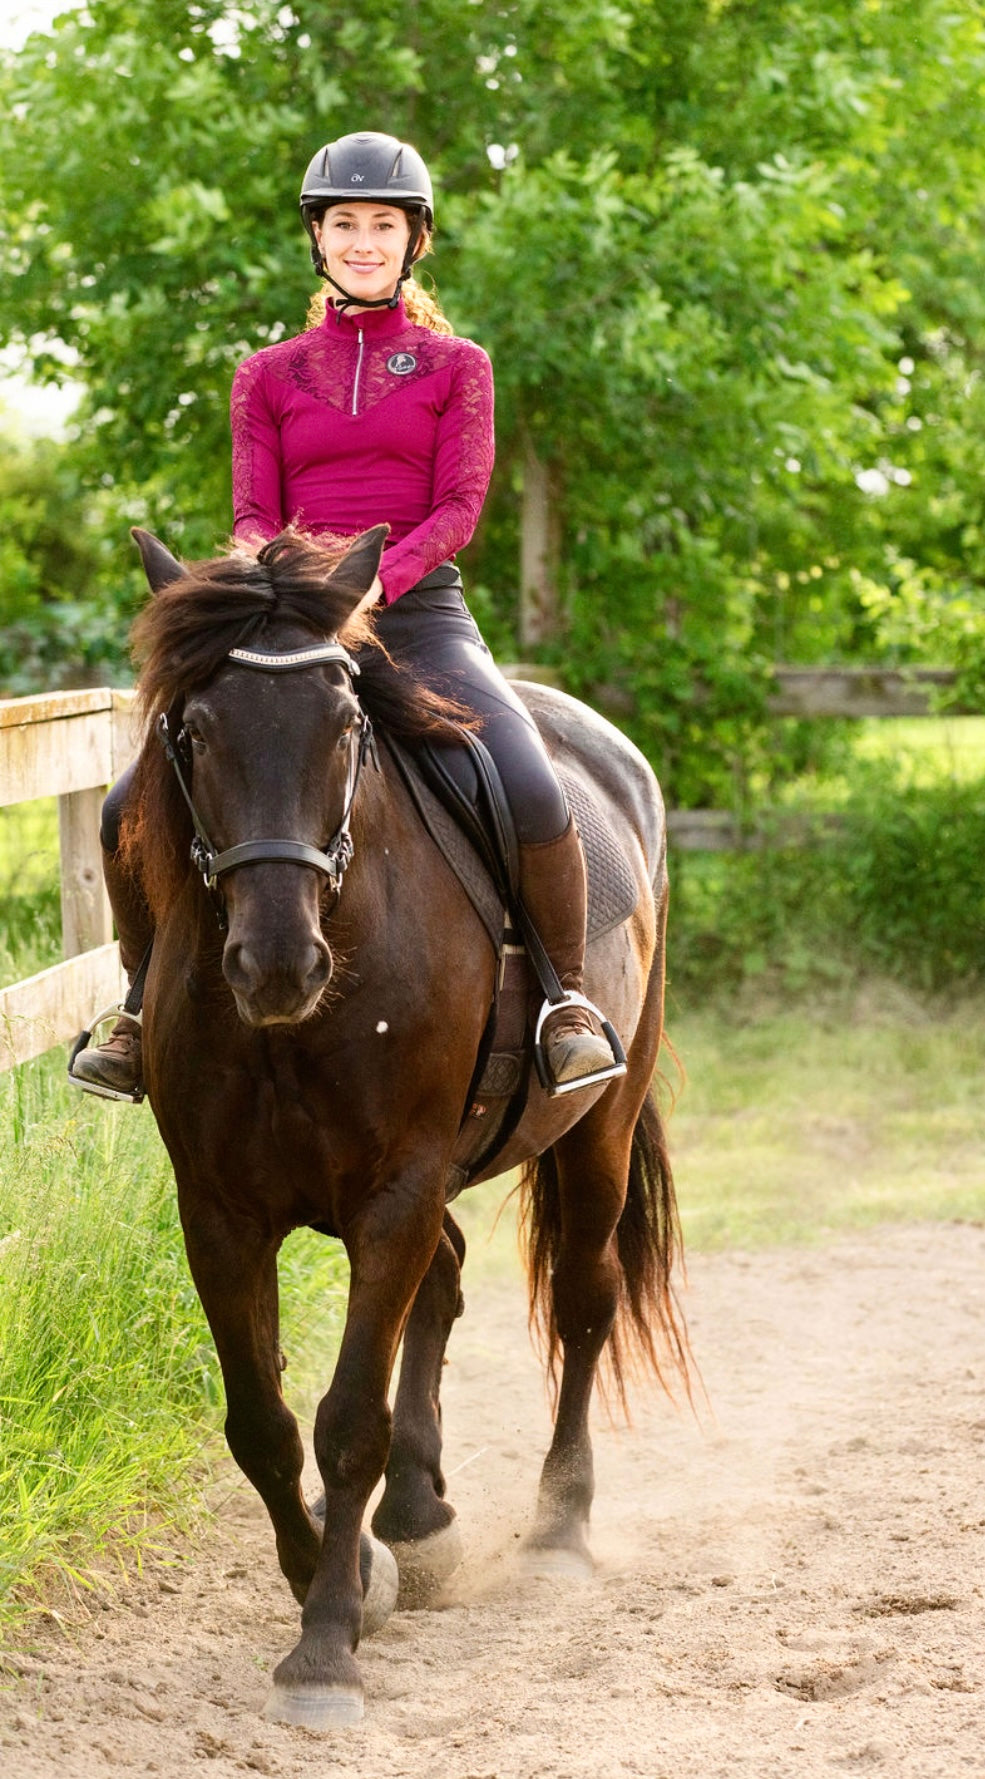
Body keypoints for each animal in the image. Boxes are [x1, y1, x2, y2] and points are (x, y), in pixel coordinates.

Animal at [119, 519, 686, 1729]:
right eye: (193, 732)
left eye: (343, 727)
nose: (276, 962)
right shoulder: (221, 1210)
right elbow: (261, 1422)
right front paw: (343, 1576)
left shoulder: (392, 1195)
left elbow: (348, 1422)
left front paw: (327, 1645)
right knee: (451, 1279)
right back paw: (419, 1524)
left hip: (595, 1132)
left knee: (583, 1301)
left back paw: (557, 1528)